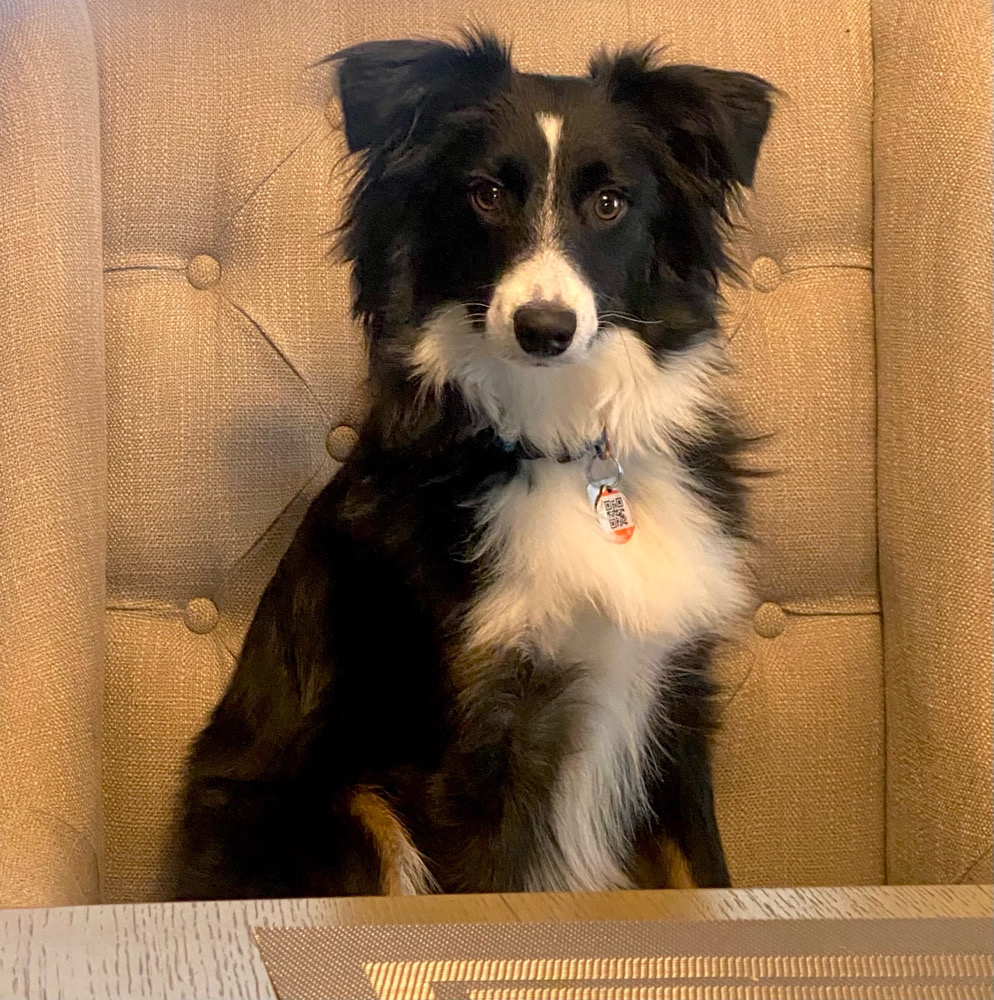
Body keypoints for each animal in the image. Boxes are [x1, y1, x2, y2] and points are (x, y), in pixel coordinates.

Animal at [169, 31, 773, 900]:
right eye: (486, 193)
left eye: (610, 203)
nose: (544, 328)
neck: (560, 441)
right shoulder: (462, 737)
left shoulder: (673, 701)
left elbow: (707, 873)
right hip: (345, 808)